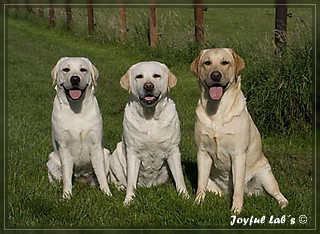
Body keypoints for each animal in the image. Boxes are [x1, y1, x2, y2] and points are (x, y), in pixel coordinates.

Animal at [46, 56, 112, 197]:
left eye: (83, 70)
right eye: (66, 69)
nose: (75, 79)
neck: (76, 109)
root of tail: (81, 178)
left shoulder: (96, 146)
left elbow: (101, 175)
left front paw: (107, 193)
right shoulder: (64, 147)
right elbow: (66, 176)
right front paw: (66, 195)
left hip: (106, 153)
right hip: (51, 160)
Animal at [109, 60, 189, 205]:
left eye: (156, 76)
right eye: (139, 76)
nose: (148, 86)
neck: (150, 116)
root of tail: (147, 186)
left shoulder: (173, 150)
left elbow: (179, 177)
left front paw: (185, 197)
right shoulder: (133, 152)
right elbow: (131, 182)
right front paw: (128, 201)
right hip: (115, 156)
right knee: (117, 180)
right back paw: (120, 187)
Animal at [190, 49, 288, 214]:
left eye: (225, 62)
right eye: (207, 63)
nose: (215, 75)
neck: (217, 109)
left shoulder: (238, 154)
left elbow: (238, 189)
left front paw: (236, 210)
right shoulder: (202, 152)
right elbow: (200, 184)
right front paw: (197, 203)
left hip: (266, 175)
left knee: (277, 194)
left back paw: (283, 205)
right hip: (213, 184)